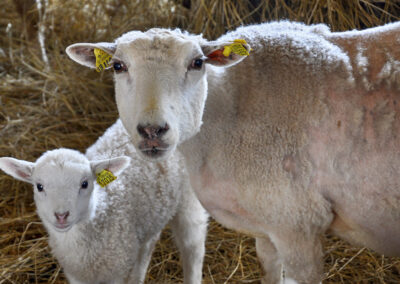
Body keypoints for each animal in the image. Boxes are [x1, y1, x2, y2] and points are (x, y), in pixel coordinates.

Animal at [0, 120, 208, 284]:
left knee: (193, 247)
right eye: (39, 186)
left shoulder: (117, 272)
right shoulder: (76, 275)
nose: (61, 215)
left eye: (85, 184)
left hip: (190, 197)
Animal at [67, 21, 400, 282]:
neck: (228, 110)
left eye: (197, 63)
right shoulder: (268, 226)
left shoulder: (298, 225)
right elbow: (269, 269)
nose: (152, 131)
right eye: (118, 66)